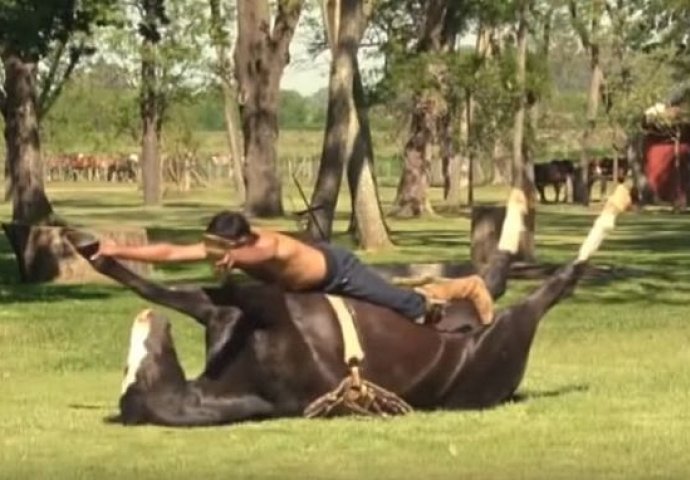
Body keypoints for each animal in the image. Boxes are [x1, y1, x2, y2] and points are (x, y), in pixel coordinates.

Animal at [67, 188, 632, 428]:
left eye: (135, 365)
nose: (145, 329)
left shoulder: (230, 309)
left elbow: (175, 289)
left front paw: (94, 251)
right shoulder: (265, 310)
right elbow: (231, 288)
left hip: (474, 313)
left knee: (490, 276)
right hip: (509, 328)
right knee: (552, 284)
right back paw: (607, 205)